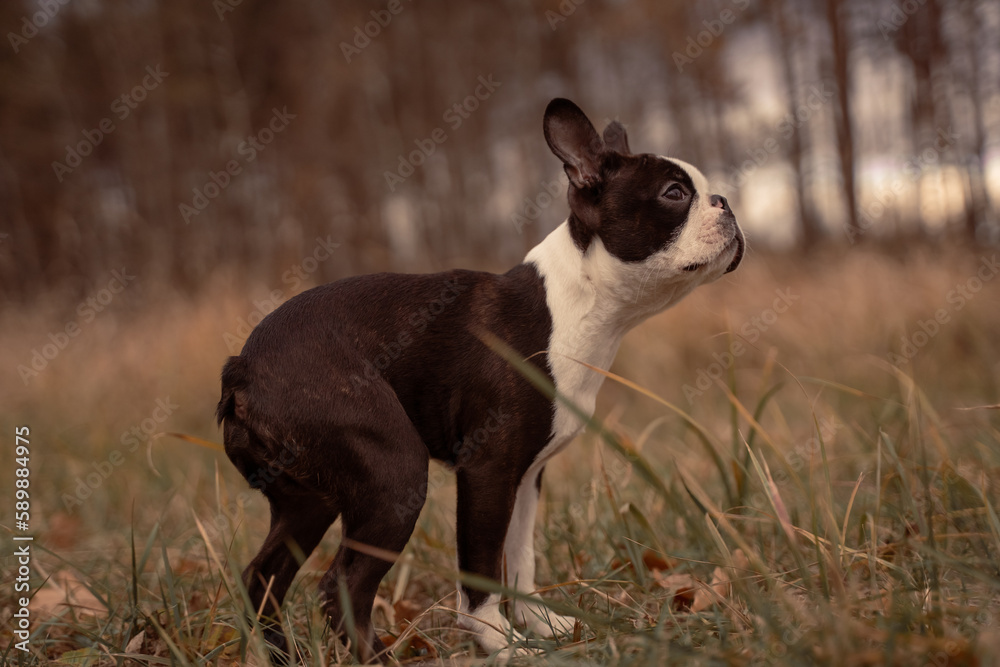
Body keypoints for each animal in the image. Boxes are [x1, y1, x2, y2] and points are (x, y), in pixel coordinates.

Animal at [221, 96, 752, 660]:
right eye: (674, 194)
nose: (725, 202)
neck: (578, 301)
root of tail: (242, 369)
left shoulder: (527, 474)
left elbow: (519, 558)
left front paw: (542, 625)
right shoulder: (488, 468)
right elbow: (480, 567)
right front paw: (498, 641)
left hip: (308, 500)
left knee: (263, 578)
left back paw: (283, 654)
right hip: (394, 473)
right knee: (342, 584)